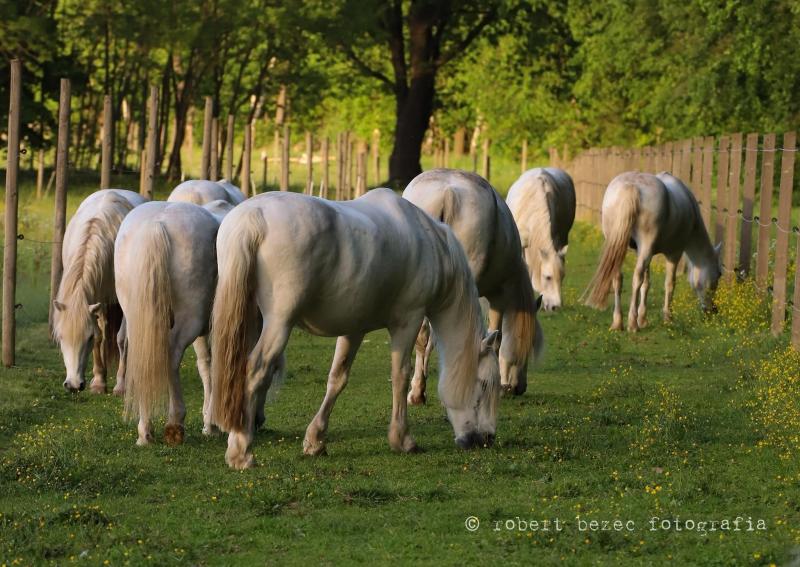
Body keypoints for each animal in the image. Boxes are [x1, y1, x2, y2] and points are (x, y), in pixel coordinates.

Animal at [52, 189, 147, 394]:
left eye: (86, 338)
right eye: (61, 337)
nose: (73, 385)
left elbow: (121, 339)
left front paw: (120, 385)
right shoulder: (96, 299)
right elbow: (100, 338)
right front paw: (98, 382)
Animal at [114, 200, 227, 446]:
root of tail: (157, 223)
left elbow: (206, 365)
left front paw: (210, 423)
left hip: (140, 320)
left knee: (144, 360)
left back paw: (145, 431)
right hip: (188, 321)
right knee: (171, 357)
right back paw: (175, 423)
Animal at [210, 189, 501, 469]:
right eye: (485, 384)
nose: (487, 438)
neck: (429, 242)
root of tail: (254, 216)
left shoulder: (354, 328)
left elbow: (337, 378)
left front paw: (315, 441)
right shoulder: (408, 321)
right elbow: (400, 375)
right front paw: (402, 439)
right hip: (279, 324)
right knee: (255, 371)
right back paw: (241, 451)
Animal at [402, 169, 544, 398]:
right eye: (528, 345)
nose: (518, 388)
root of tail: (447, 193)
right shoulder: (498, 298)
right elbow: (496, 339)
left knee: (422, 334)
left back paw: (417, 392)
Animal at [584, 171, 721, 331]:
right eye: (719, 274)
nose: (713, 310)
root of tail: (631, 186)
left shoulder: (644, 253)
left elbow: (646, 283)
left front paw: (643, 319)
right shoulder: (674, 253)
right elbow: (669, 283)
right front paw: (668, 318)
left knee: (618, 277)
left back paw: (618, 322)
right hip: (646, 246)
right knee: (636, 278)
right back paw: (632, 324)